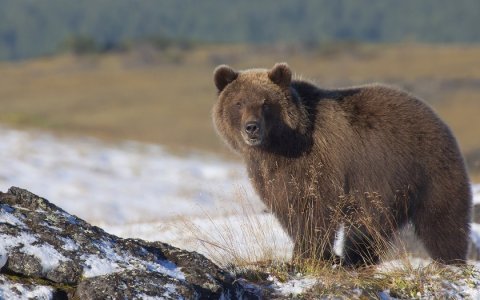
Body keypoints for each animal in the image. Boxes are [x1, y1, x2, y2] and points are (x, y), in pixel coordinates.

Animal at [211, 62, 472, 264]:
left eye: (265, 103)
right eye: (239, 103)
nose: (251, 127)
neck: (280, 146)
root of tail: (434, 115)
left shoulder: (319, 164)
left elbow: (315, 210)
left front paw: (309, 255)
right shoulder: (272, 174)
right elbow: (288, 210)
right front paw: (314, 254)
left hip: (426, 170)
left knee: (442, 221)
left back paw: (450, 261)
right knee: (369, 230)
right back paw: (356, 259)